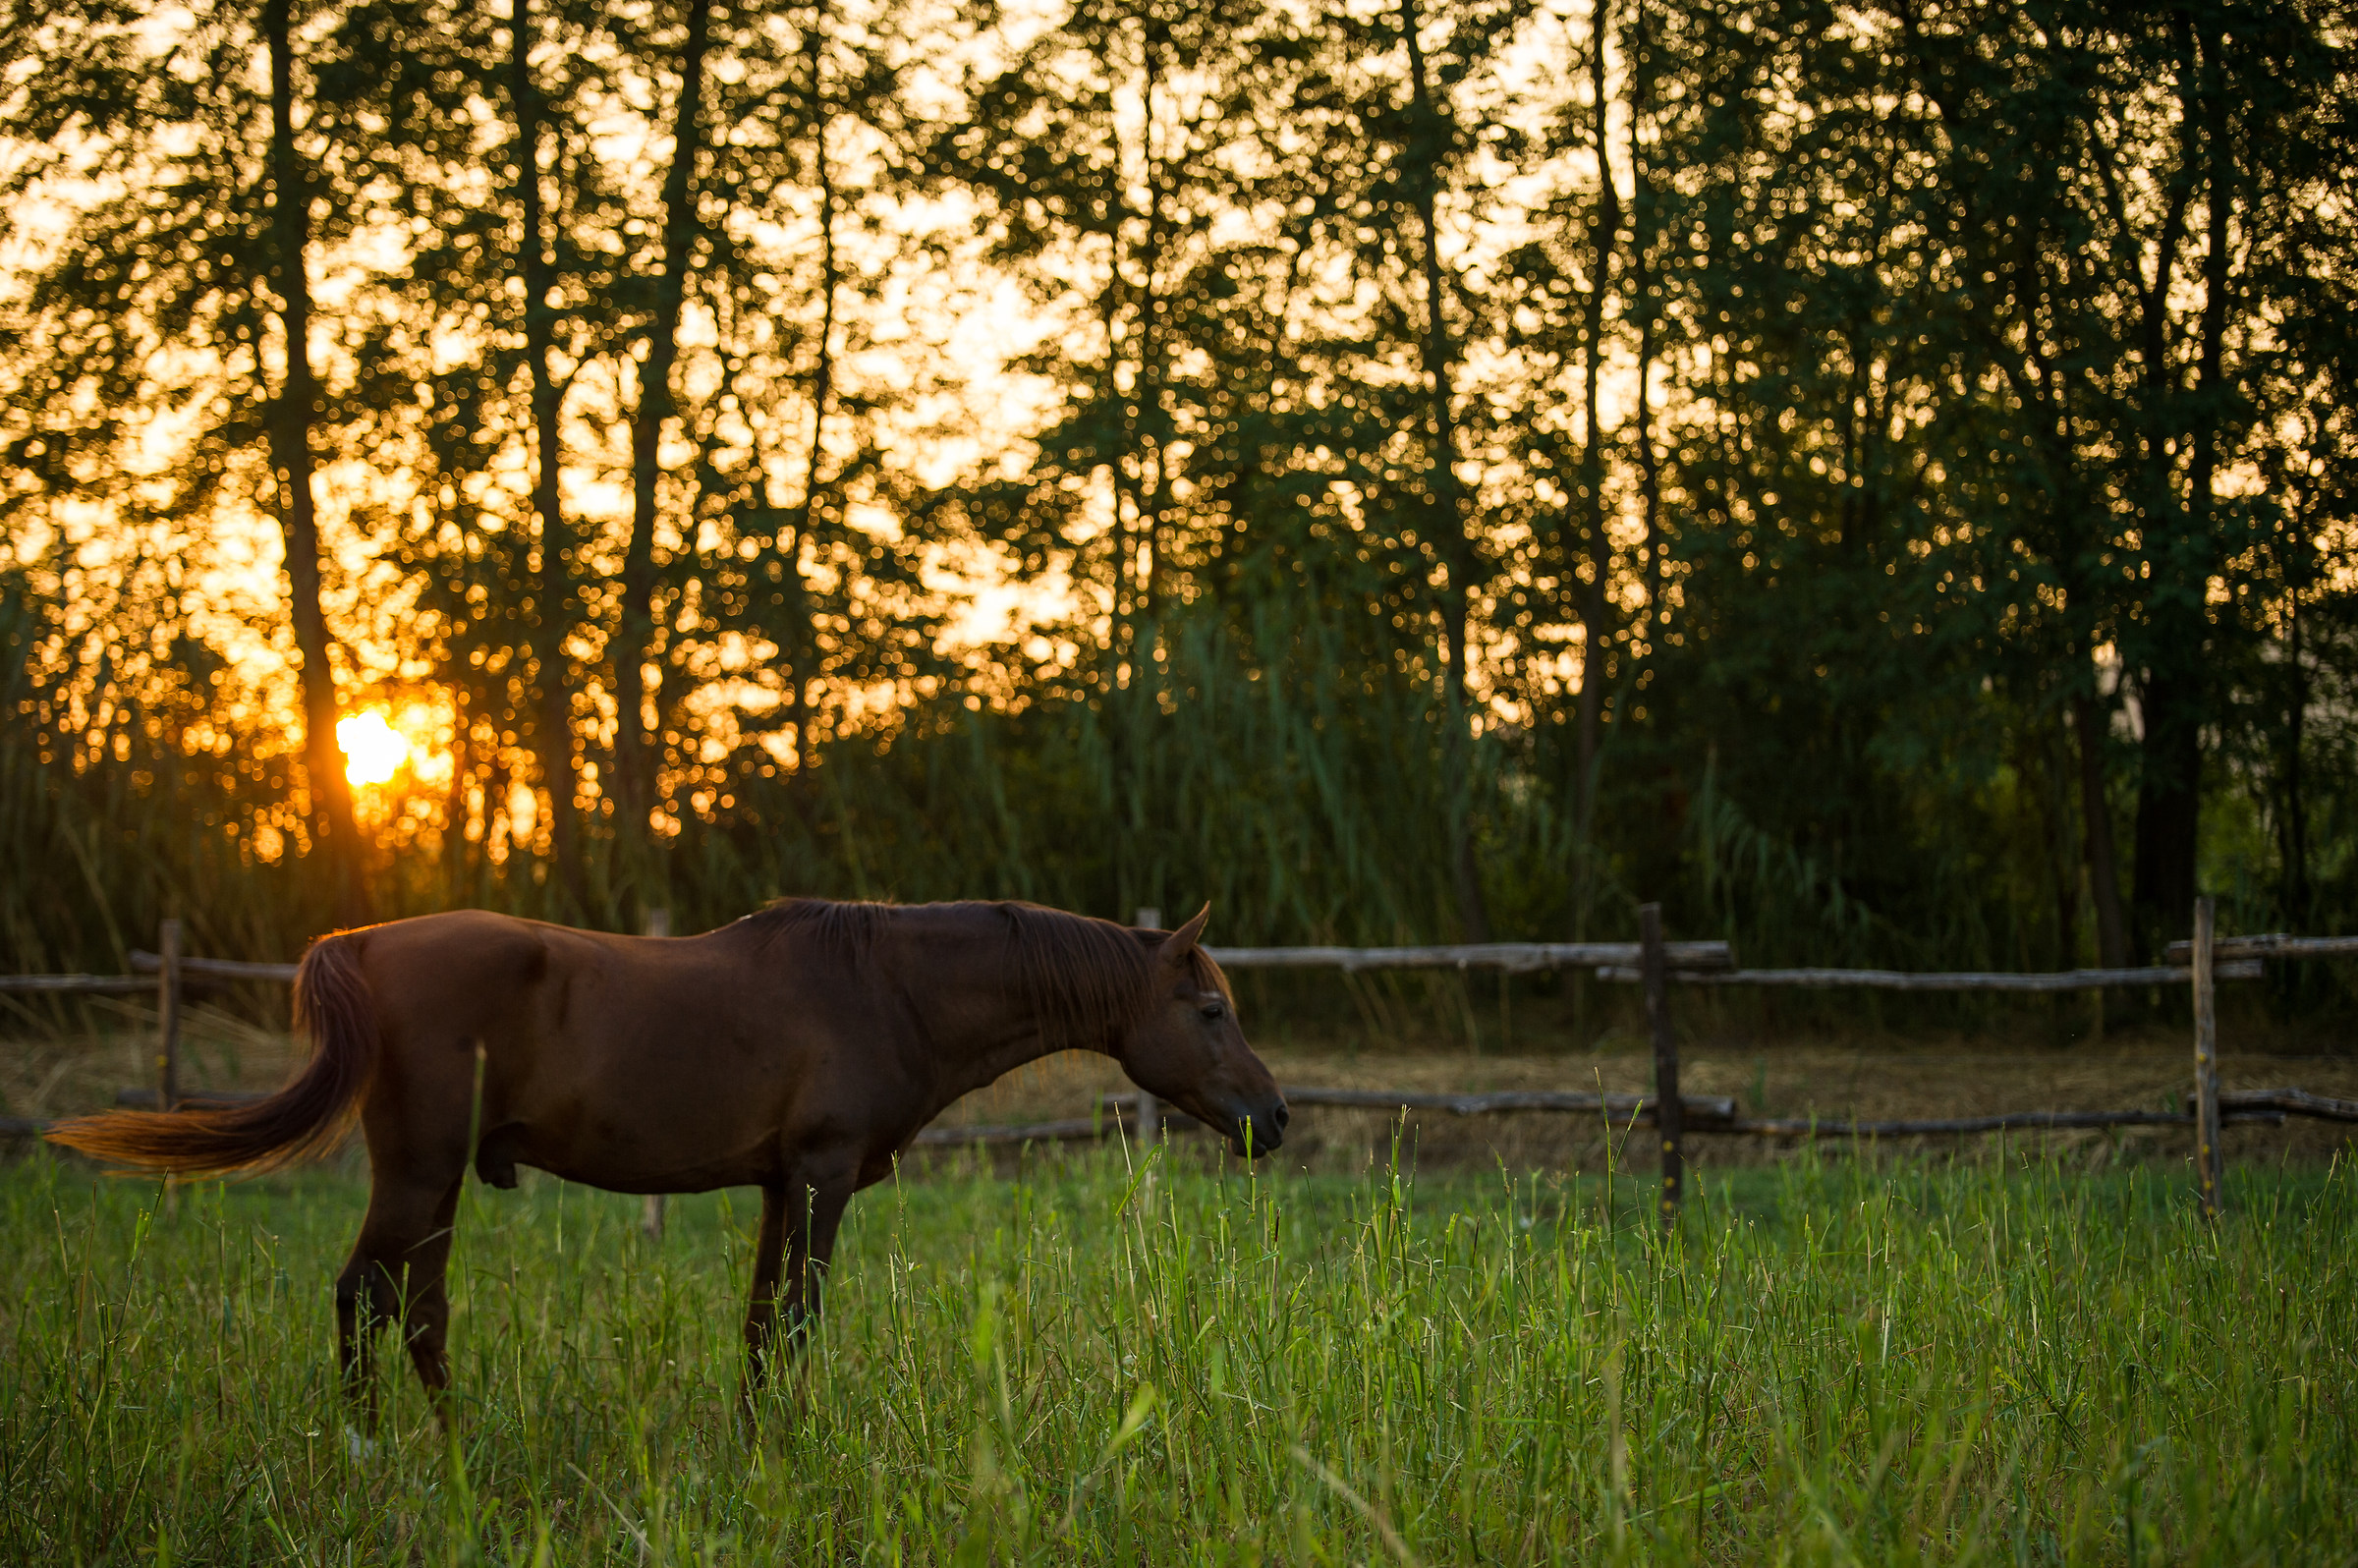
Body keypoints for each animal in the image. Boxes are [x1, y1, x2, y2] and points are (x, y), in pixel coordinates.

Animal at [46, 898, 1286, 1428]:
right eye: (1211, 1009)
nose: (1271, 1119)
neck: (885, 986)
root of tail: (358, 945)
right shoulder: (824, 1176)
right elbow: (797, 1319)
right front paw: (788, 1441)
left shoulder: (782, 1184)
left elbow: (760, 1322)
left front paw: (752, 1437)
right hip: (418, 1173)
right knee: (371, 1295)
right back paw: (374, 1442)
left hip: (431, 1184)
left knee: (415, 1306)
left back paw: (452, 1436)